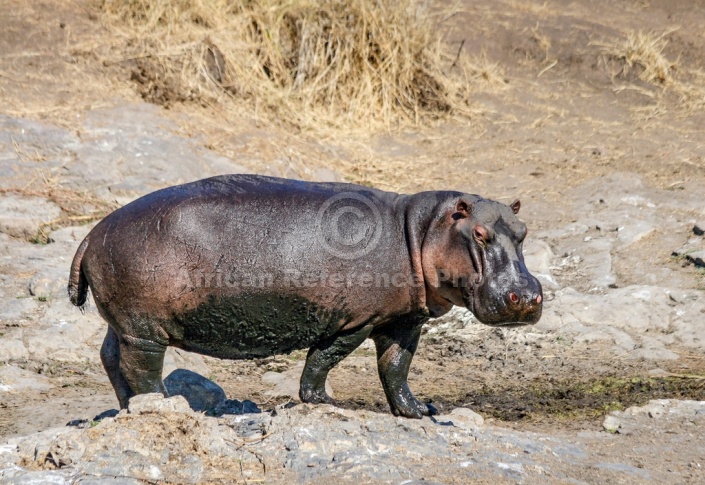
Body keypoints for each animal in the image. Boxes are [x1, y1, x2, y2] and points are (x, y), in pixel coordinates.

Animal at [69, 176, 540, 418]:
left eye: (522, 231)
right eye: (479, 233)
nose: (527, 296)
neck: (419, 230)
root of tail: (91, 233)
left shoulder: (405, 320)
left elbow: (395, 368)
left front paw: (420, 411)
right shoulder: (356, 321)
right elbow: (323, 358)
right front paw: (327, 402)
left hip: (122, 323)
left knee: (110, 358)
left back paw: (129, 409)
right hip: (144, 329)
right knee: (140, 368)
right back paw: (165, 406)